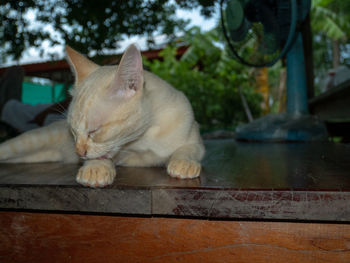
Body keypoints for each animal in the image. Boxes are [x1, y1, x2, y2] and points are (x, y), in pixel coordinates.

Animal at [0, 44, 205, 188]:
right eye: (73, 132)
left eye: (94, 131)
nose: (78, 153)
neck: (143, 137)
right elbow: (102, 157)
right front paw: (95, 169)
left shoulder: (196, 141)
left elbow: (187, 150)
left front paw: (183, 164)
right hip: (27, 143)